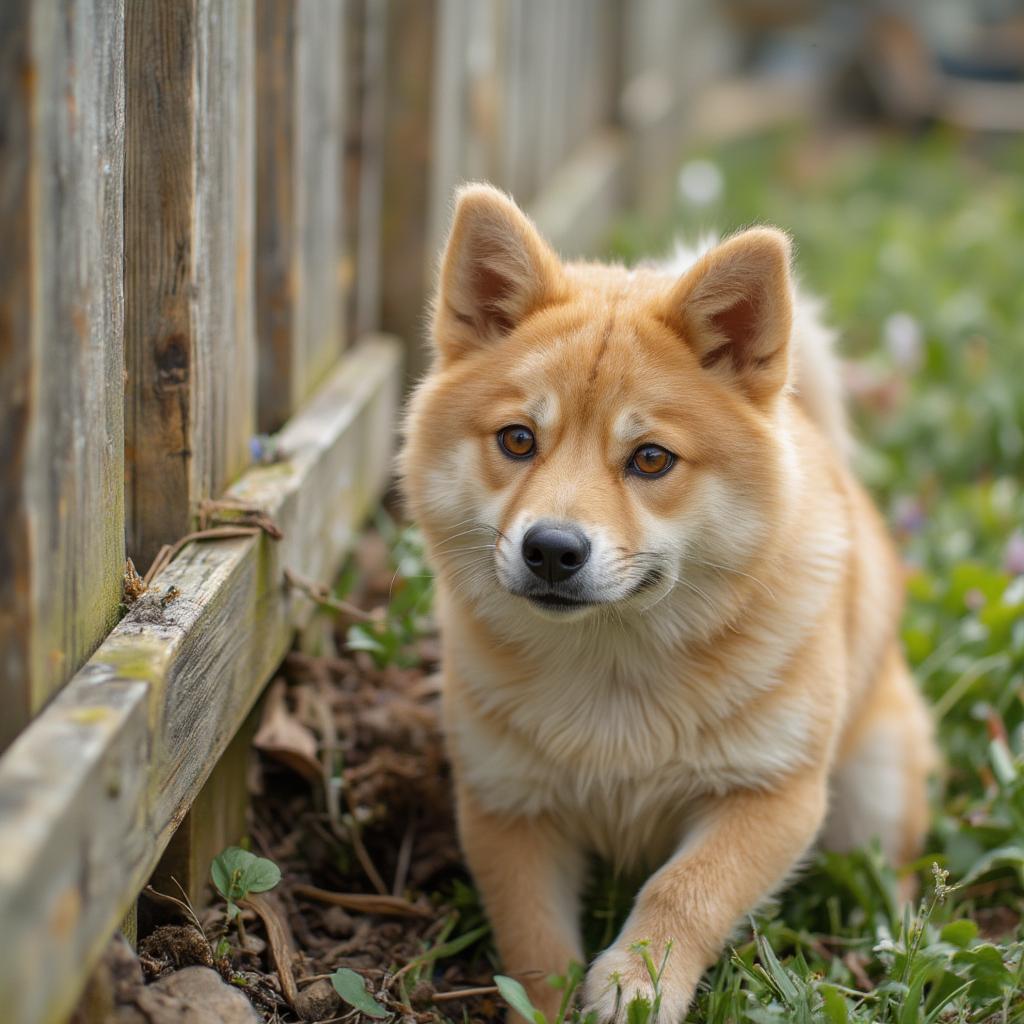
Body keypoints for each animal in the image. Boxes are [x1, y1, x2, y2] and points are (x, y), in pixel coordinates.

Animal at [397, 186, 937, 1024]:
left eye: (651, 459)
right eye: (517, 440)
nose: (552, 549)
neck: (615, 671)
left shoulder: (771, 795)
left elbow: (685, 891)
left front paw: (636, 983)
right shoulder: (508, 808)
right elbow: (534, 939)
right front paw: (557, 1000)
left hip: (873, 796)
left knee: (891, 873)